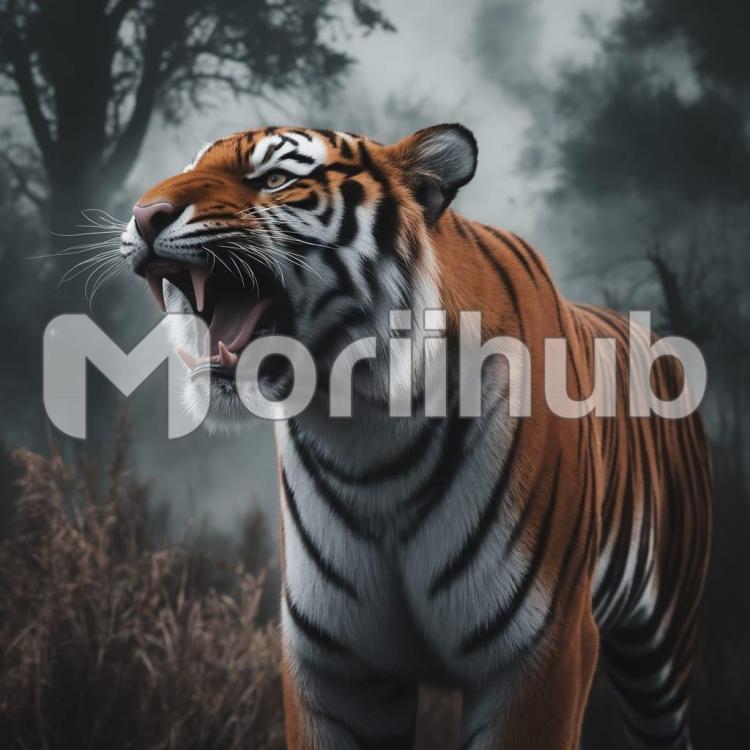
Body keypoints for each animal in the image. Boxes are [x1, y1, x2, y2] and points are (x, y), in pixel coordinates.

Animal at [120, 123, 712, 749]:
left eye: (276, 178)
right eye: (192, 166)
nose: (144, 215)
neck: (365, 430)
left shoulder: (545, 650)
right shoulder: (337, 666)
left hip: (660, 647)